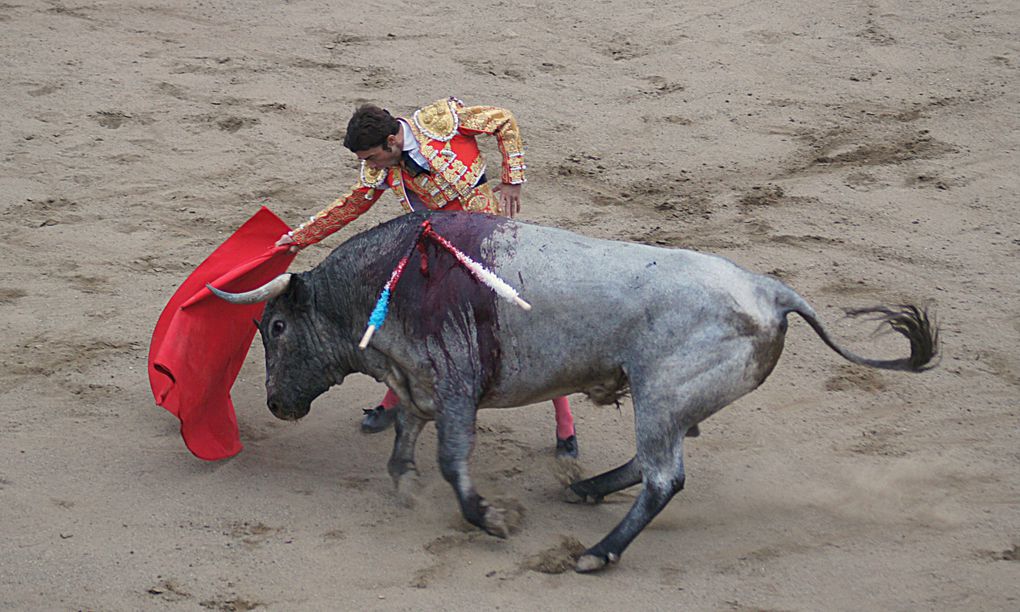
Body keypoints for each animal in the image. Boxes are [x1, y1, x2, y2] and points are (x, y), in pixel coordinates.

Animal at [211, 211, 934, 575]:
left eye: (276, 327)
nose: (275, 404)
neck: (390, 280)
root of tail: (770, 290)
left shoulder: (455, 386)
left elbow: (451, 461)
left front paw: (490, 519)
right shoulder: (418, 384)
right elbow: (405, 443)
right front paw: (405, 485)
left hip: (661, 394)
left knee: (664, 477)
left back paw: (597, 552)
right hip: (666, 401)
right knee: (651, 462)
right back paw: (585, 490)